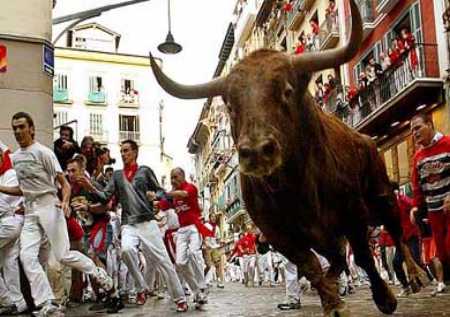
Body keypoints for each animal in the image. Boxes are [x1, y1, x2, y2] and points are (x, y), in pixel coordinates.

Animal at [149, 1, 428, 314]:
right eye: (231, 105)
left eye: (287, 90)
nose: (257, 151)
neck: (294, 186)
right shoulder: (278, 234)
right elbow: (311, 267)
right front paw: (331, 302)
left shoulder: (353, 212)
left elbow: (364, 256)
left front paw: (384, 298)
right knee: (336, 259)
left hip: (381, 196)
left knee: (395, 231)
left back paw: (415, 276)